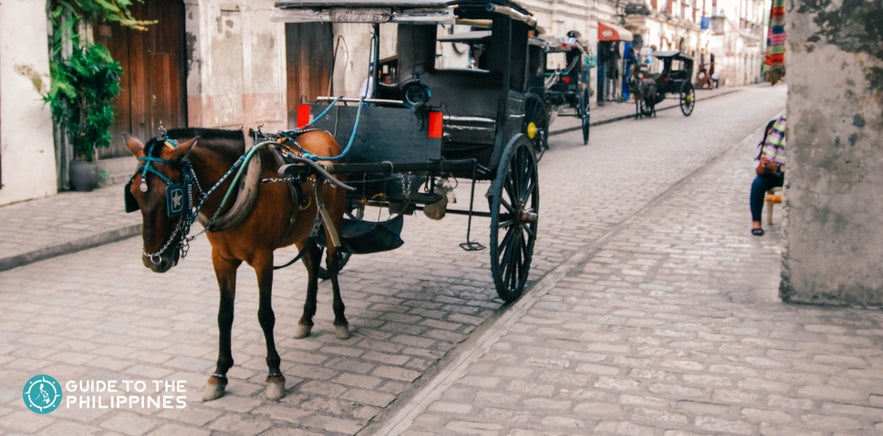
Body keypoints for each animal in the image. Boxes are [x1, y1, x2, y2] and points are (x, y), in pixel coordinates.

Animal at [123, 127, 349, 401]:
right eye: (134, 195)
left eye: (173, 196)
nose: (154, 260)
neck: (239, 184)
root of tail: (323, 133)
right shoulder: (221, 259)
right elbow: (224, 315)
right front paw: (219, 374)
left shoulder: (264, 258)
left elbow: (265, 315)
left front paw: (274, 374)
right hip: (302, 227)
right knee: (312, 261)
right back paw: (306, 318)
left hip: (333, 216)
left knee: (332, 261)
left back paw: (340, 319)